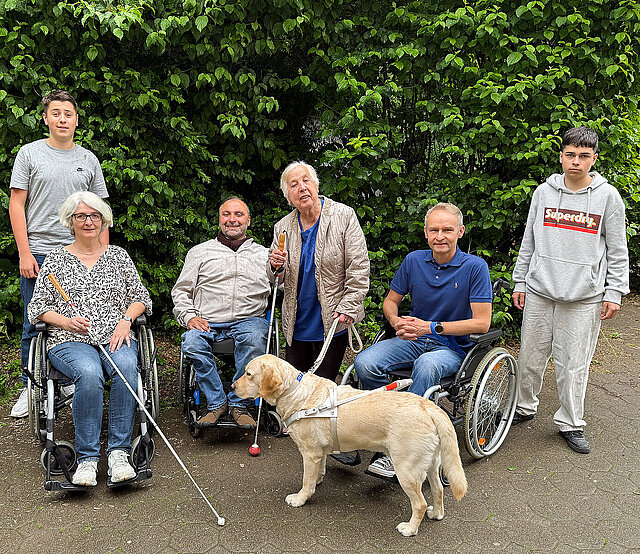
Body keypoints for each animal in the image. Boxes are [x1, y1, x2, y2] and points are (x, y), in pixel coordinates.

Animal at [233, 354, 467, 536]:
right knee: (438, 490)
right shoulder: (319, 453)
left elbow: (306, 481)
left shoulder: (309, 453)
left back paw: (410, 529)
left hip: (406, 470)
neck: (294, 392)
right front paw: (318, 481)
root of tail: (429, 406)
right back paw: (436, 514)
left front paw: (300, 498)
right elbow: (318, 471)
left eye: (249, 374)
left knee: (420, 503)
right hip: (430, 464)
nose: (233, 386)